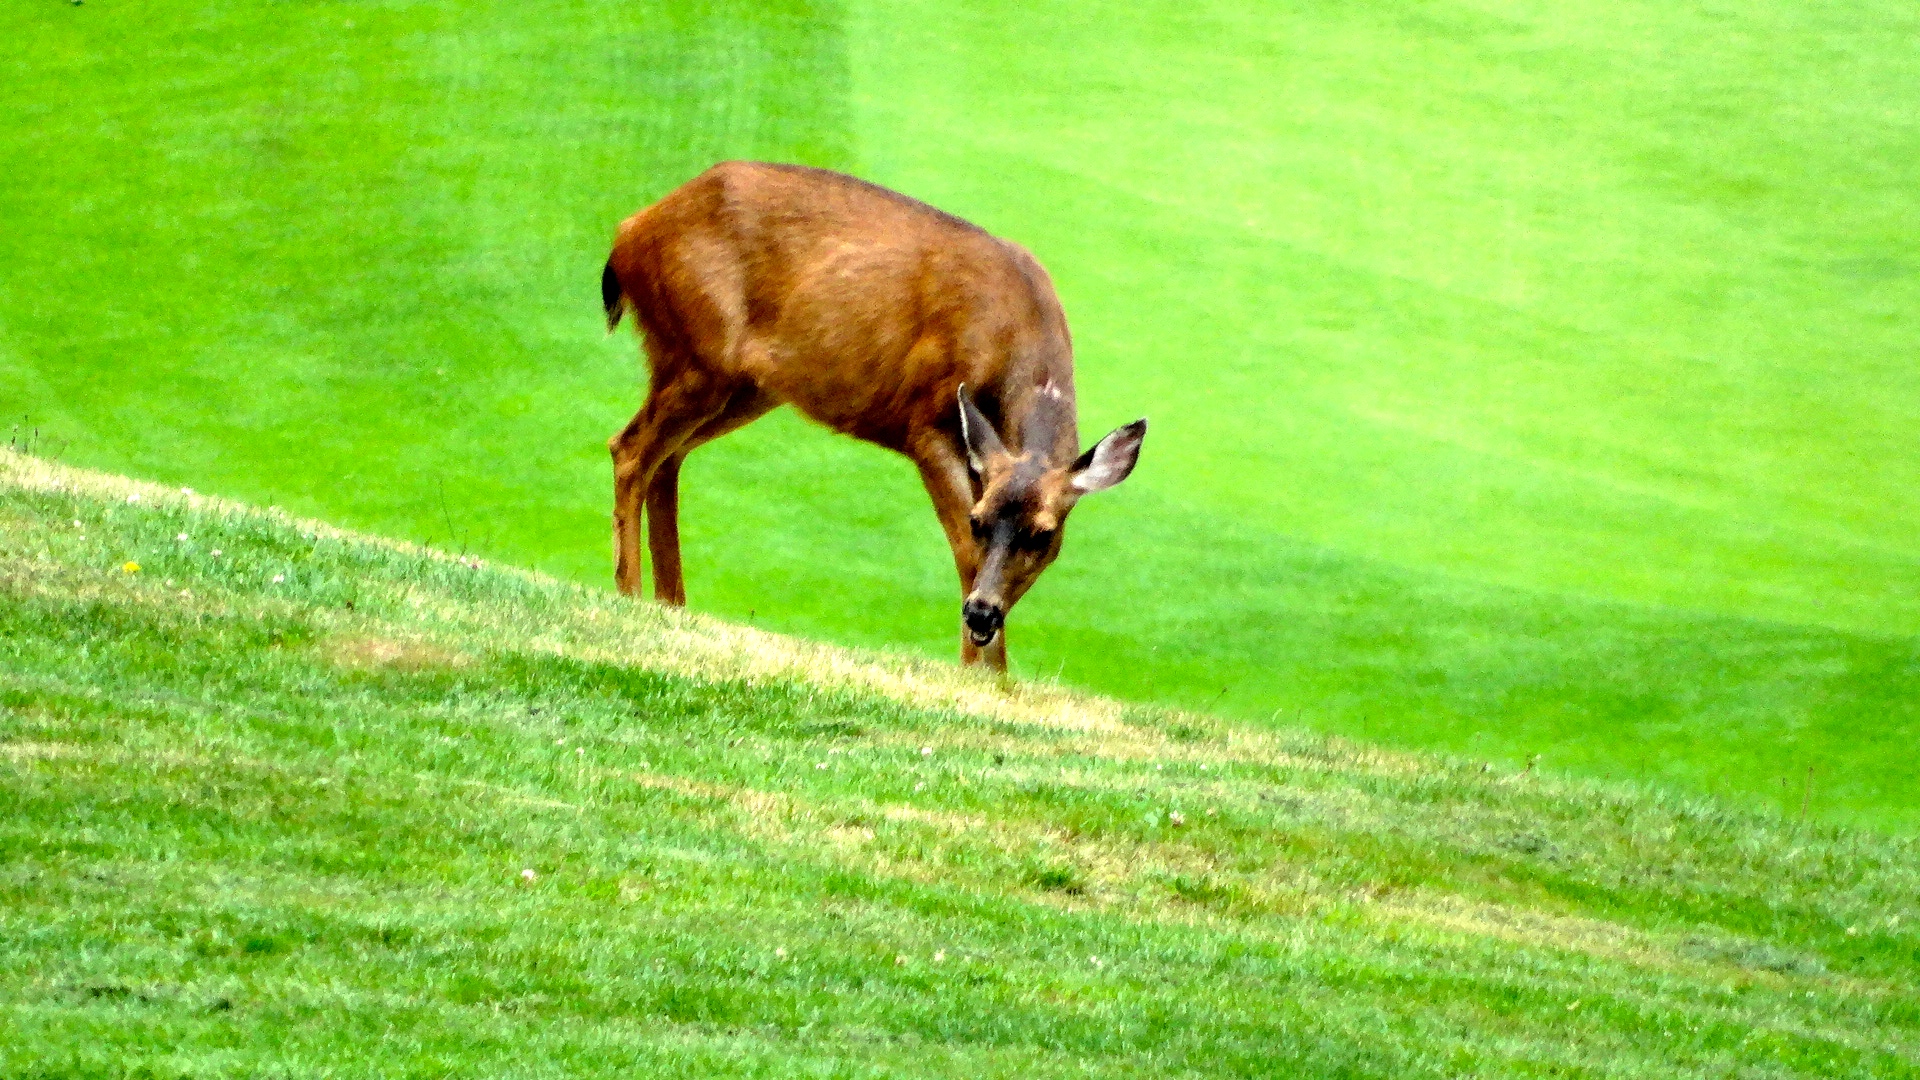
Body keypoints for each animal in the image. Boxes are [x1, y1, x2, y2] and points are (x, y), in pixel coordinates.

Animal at [599, 161, 1146, 671]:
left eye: (1045, 534)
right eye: (979, 521)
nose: (981, 614)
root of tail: (630, 229)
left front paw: (996, 676)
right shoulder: (925, 421)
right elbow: (964, 554)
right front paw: (979, 674)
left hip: (745, 384)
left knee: (666, 459)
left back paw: (672, 605)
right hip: (698, 352)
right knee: (629, 448)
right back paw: (629, 593)